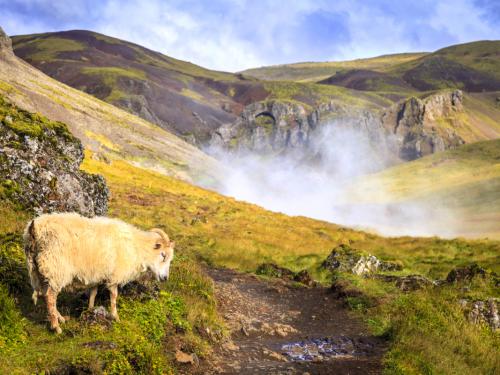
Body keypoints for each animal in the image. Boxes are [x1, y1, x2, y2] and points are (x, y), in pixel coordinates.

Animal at [23, 213, 176, 334]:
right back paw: (56, 326)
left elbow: (93, 293)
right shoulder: (115, 275)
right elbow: (114, 297)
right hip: (56, 268)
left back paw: (59, 318)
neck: (137, 248)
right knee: (50, 297)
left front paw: (90, 310)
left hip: (38, 269)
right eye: (163, 255)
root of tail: (35, 229)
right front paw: (115, 317)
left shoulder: (96, 274)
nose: (165, 278)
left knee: (45, 294)